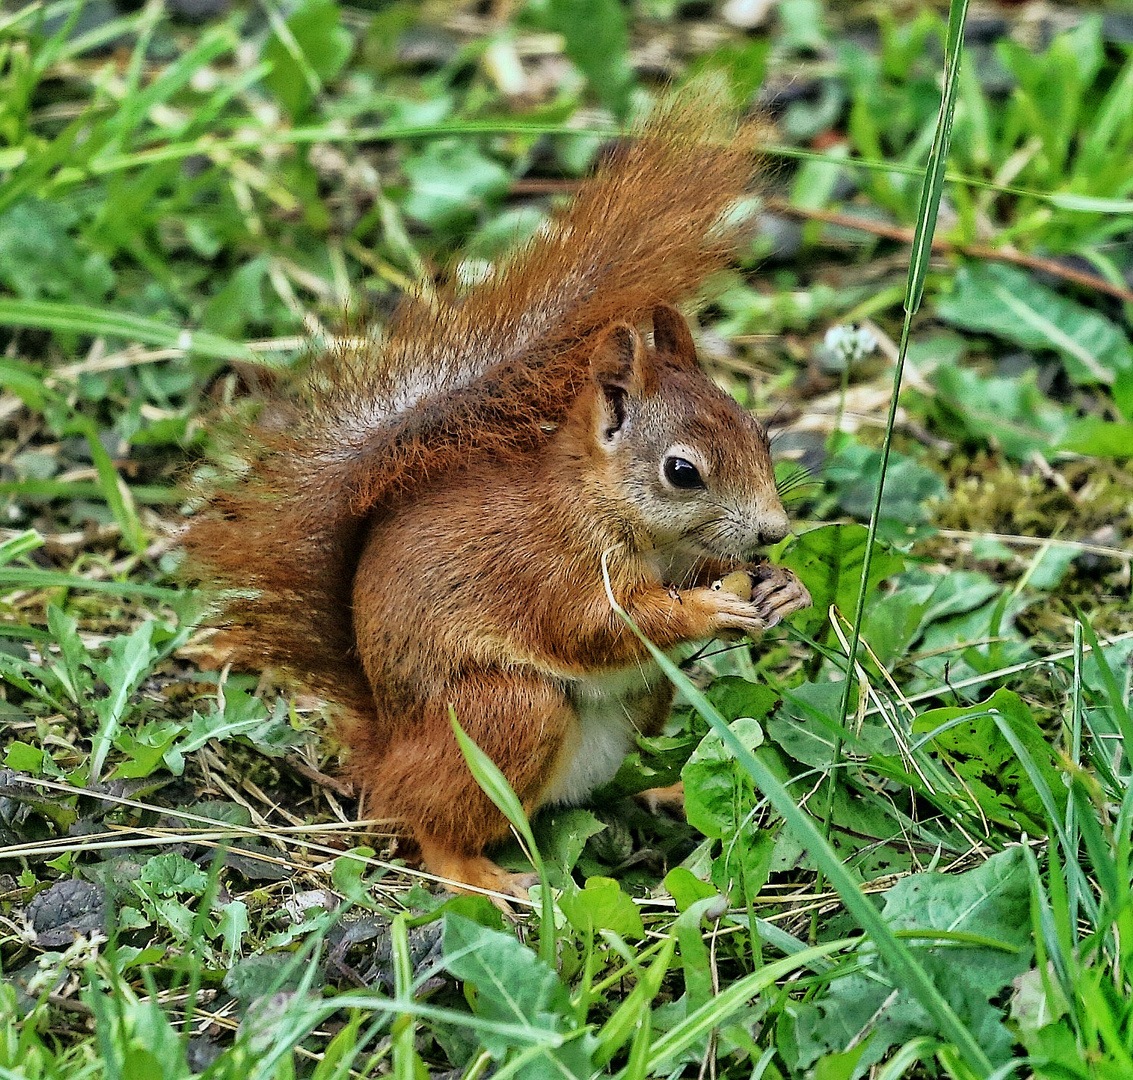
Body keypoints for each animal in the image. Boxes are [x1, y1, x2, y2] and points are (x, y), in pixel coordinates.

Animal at [181, 92, 811, 897]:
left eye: (760, 432)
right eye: (681, 471)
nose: (773, 531)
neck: (624, 522)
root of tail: (387, 755)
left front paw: (782, 587)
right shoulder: (549, 569)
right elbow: (593, 628)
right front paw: (706, 609)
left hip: (637, 706)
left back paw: (665, 791)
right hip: (506, 713)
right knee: (435, 821)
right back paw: (479, 873)